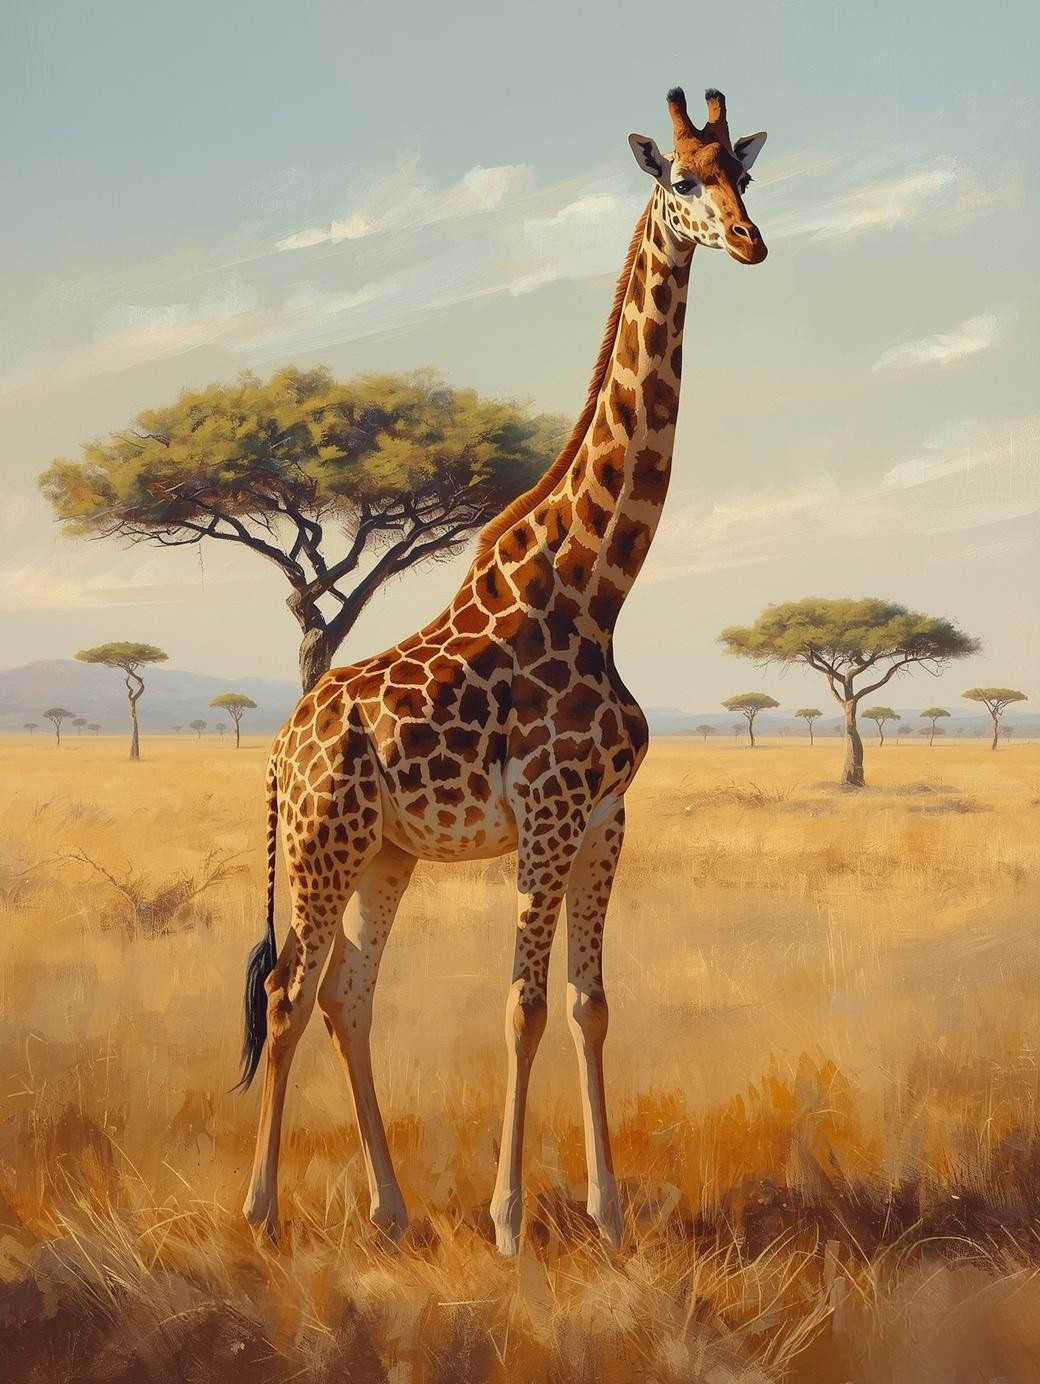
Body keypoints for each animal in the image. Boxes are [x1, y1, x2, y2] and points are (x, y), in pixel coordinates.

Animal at [239, 86, 769, 1254]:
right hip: (322, 841)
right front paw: (511, 1221)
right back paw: (259, 1212)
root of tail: (283, 749)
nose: (751, 241)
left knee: (347, 992)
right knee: (292, 990)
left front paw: (608, 1214)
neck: (599, 584)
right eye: (680, 178)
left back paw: (392, 1211)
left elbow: (588, 1005)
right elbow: (521, 1005)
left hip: (384, 851)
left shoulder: (606, 817)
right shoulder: (549, 813)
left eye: (746, 174)